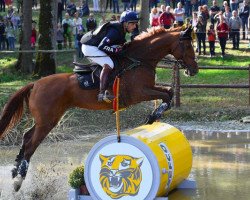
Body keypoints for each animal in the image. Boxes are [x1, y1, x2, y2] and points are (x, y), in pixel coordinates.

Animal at [0, 26, 199, 191]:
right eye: (187, 46)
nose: (195, 70)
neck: (140, 60)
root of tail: (35, 84)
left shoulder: (149, 88)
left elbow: (169, 93)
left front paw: (153, 116)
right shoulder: (140, 93)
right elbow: (166, 96)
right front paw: (153, 116)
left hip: (48, 118)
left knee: (27, 136)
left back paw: (15, 170)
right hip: (47, 121)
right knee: (31, 144)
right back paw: (19, 180)